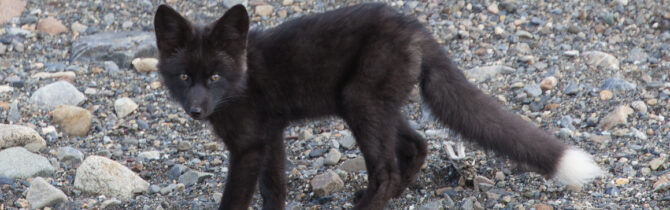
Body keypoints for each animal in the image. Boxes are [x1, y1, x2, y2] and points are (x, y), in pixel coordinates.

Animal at [155, 2, 608, 208]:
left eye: (214, 77)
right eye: (185, 78)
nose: (195, 111)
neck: (242, 82)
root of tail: (417, 29)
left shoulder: (249, 145)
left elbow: (237, 198)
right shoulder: (272, 135)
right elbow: (275, 189)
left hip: (358, 102)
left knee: (388, 171)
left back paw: (371, 204)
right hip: (374, 104)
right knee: (418, 144)